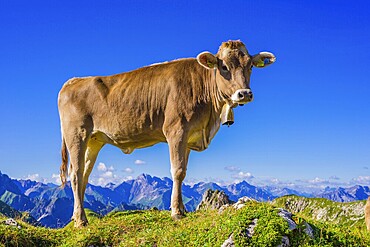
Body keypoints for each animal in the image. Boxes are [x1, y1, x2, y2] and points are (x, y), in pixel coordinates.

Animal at [57, 39, 274, 227]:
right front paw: (176, 212)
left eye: (250, 66)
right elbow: (177, 170)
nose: (244, 94)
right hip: (76, 134)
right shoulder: (176, 129)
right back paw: (80, 221)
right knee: (76, 174)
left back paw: (78, 216)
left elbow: (184, 171)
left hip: (94, 140)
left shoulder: (189, 136)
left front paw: (183, 209)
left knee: (84, 176)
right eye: (224, 67)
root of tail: (72, 81)